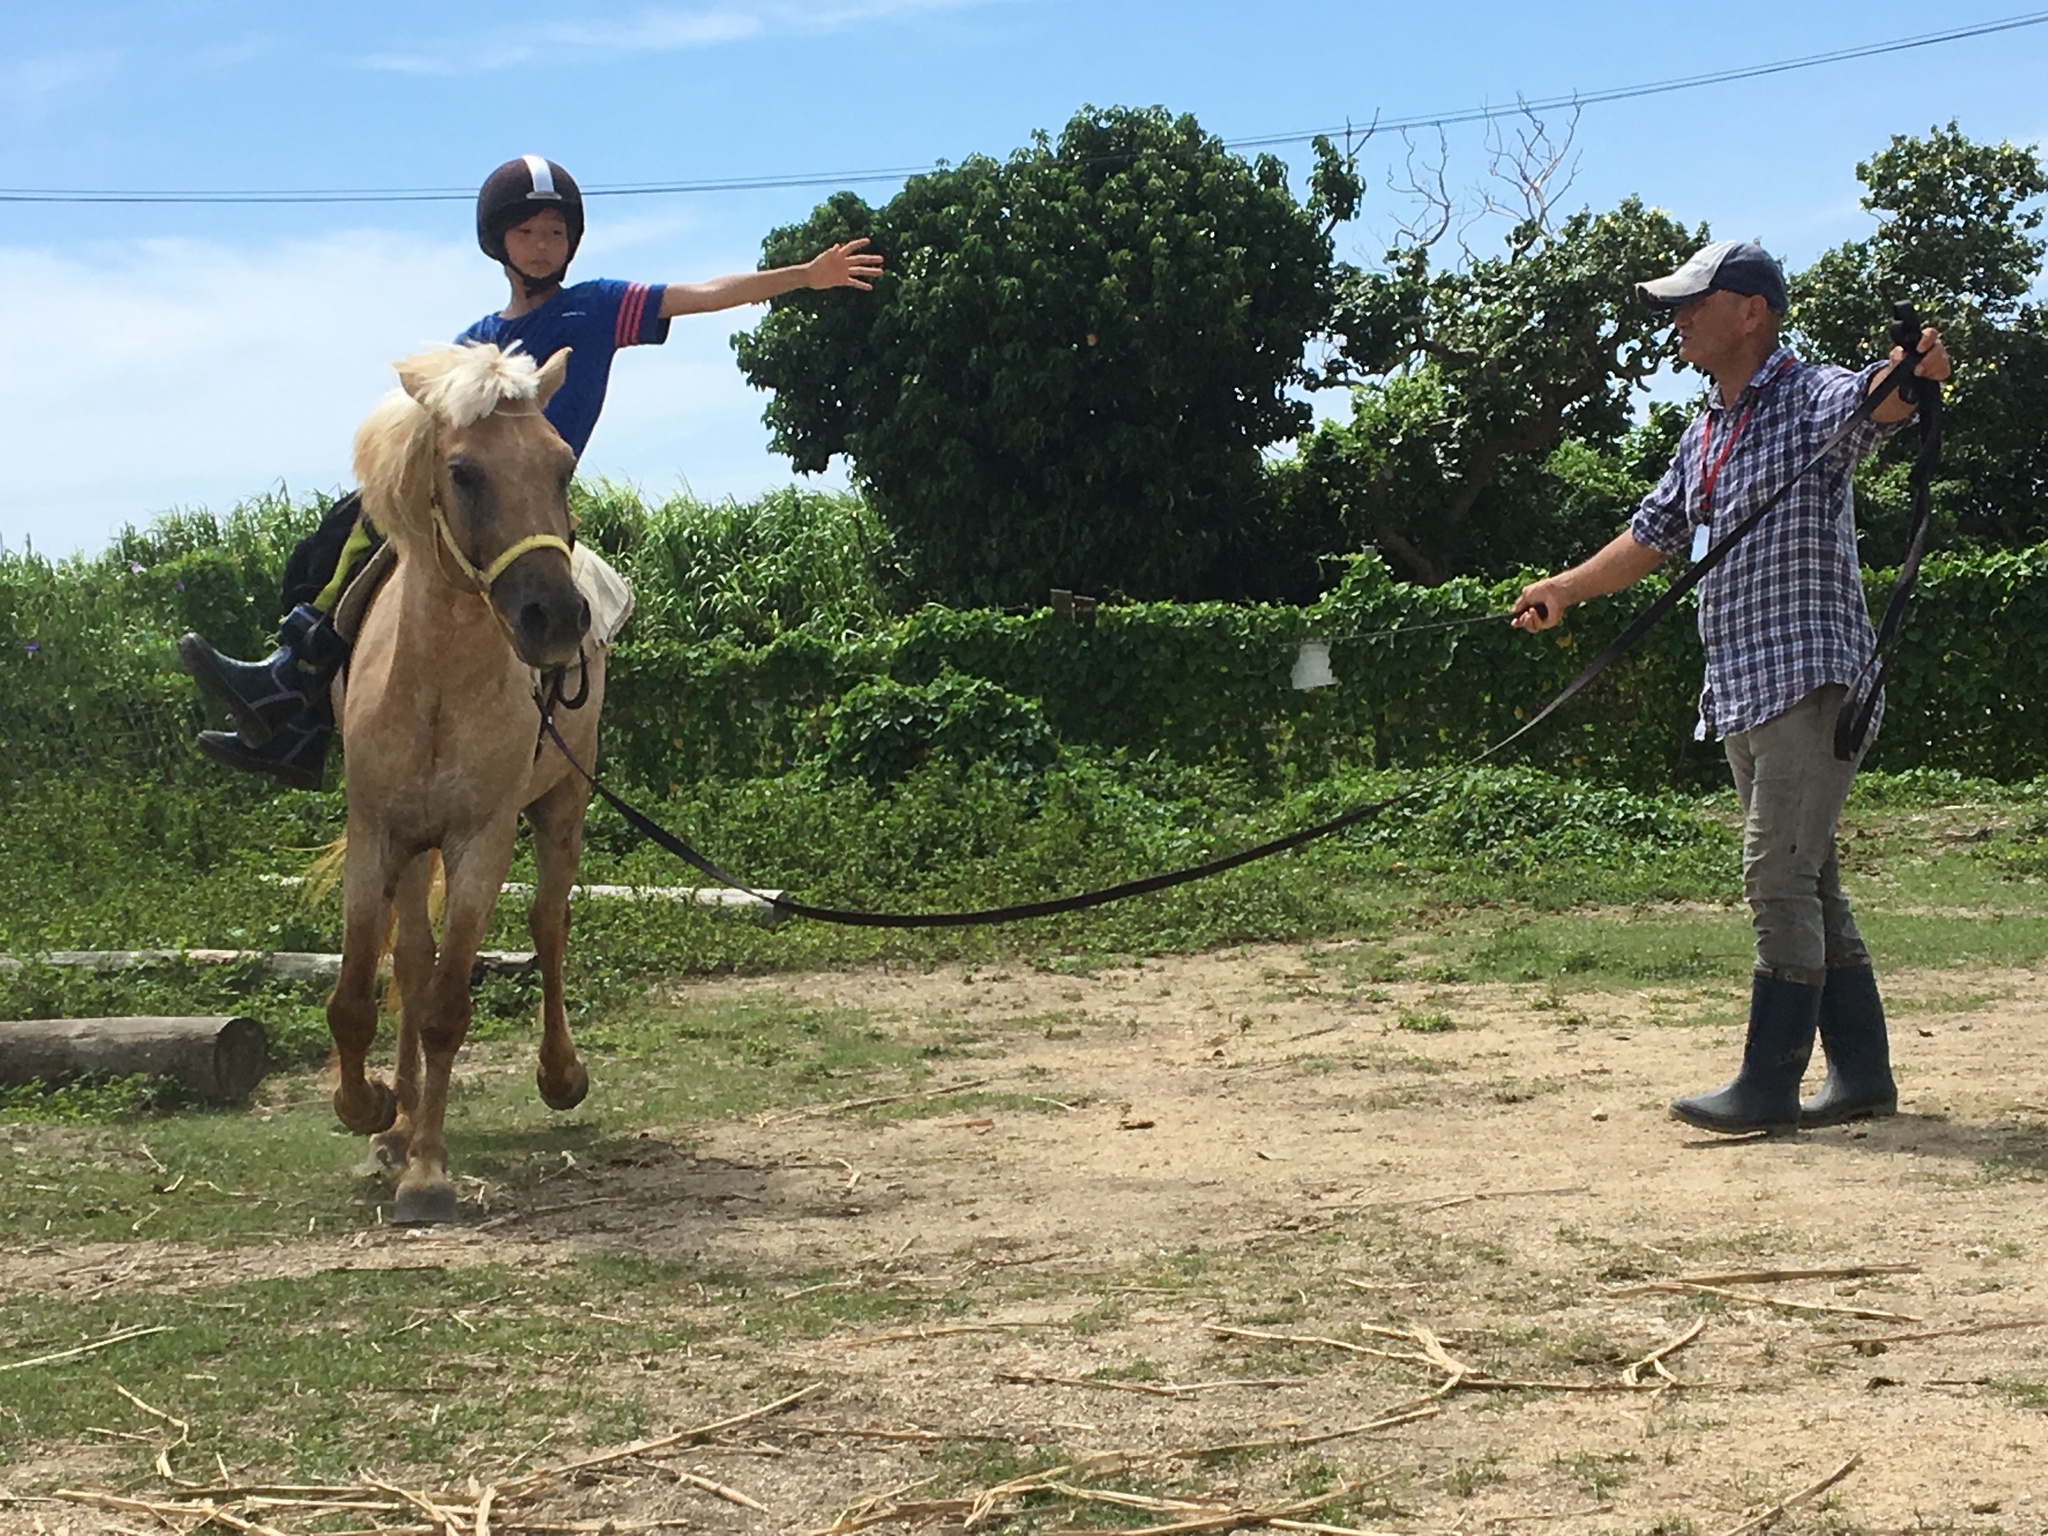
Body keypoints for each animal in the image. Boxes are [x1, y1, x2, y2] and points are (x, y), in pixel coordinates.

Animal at [331, 346, 602, 1228]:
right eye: (463, 471)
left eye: (562, 465)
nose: (554, 618)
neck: (437, 684)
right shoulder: (377, 834)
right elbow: (359, 996)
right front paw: (372, 1111)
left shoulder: (481, 839)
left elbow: (450, 1007)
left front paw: (427, 1174)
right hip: (416, 849)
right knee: (412, 963)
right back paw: (396, 1123)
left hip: (561, 807)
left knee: (548, 925)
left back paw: (558, 1075)